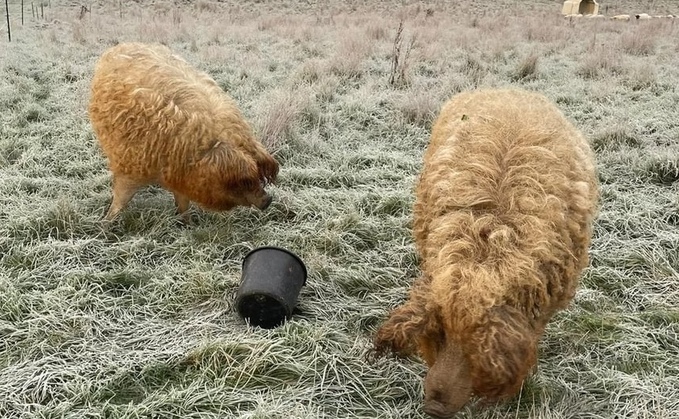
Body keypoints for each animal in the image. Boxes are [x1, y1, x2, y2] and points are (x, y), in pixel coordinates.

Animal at [88, 42, 278, 223]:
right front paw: (105, 223)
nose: (268, 200)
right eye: (243, 181)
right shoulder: (130, 164)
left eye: (258, 174)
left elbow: (183, 204)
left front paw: (189, 224)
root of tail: (124, 44)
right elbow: (121, 199)